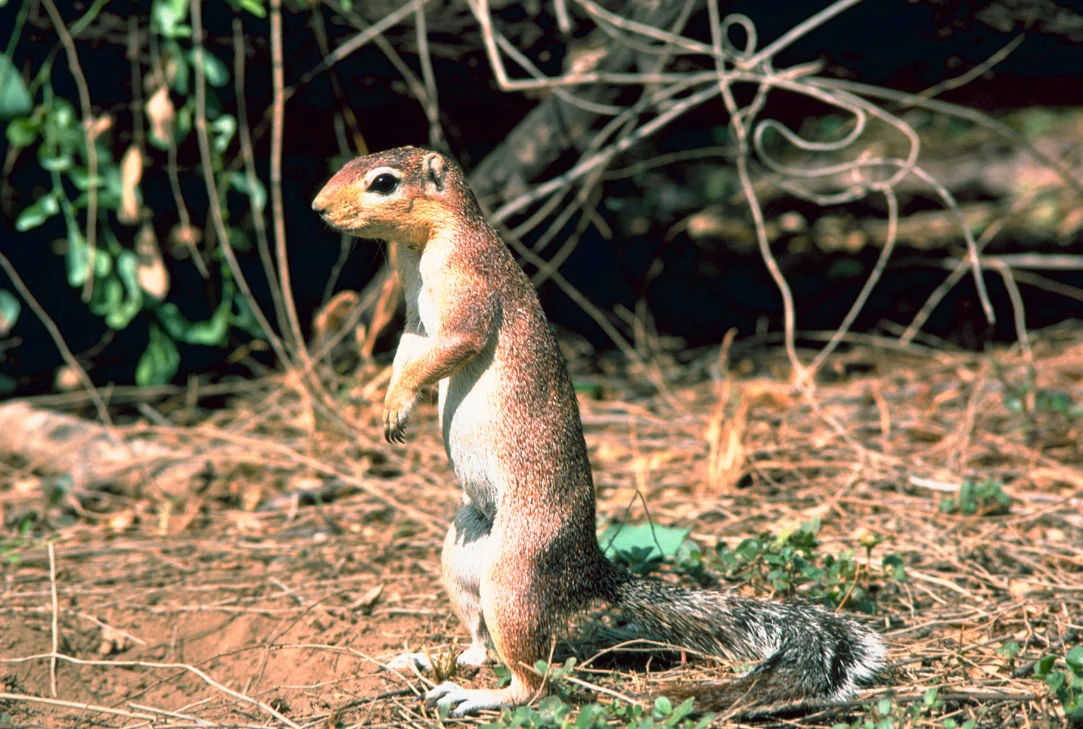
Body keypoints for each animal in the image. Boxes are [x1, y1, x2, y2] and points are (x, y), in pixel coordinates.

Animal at [311, 146, 884, 717]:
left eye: (383, 182)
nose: (318, 208)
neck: (427, 242)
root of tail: (585, 568)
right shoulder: (413, 316)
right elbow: (407, 351)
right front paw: (389, 403)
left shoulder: (468, 285)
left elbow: (454, 343)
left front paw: (399, 403)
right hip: (460, 555)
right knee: (481, 642)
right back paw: (434, 660)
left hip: (513, 577)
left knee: (533, 680)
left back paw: (477, 694)